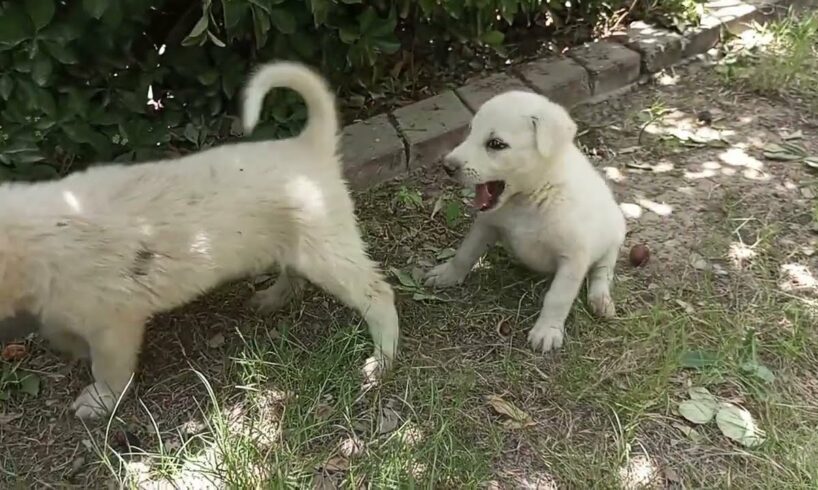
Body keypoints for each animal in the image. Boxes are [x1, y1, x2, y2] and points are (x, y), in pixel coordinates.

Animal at [0, 61, 398, 420]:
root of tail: (307, 146)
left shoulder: (114, 324)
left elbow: (109, 369)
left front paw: (99, 401)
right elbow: (61, 331)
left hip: (329, 251)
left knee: (378, 294)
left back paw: (382, 359)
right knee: (293, 274)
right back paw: (271, 298)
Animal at [424, 90, 620, 352]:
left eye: (496, 144)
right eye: (471, 131)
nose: (447, 166)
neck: (532, 197)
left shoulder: (573, 257)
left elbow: (558, 297)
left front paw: (547, 330)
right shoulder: (486, 225)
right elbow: (464, 254)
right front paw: (447, 275)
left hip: (614, 237)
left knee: (602, 271)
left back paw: (600, 300)